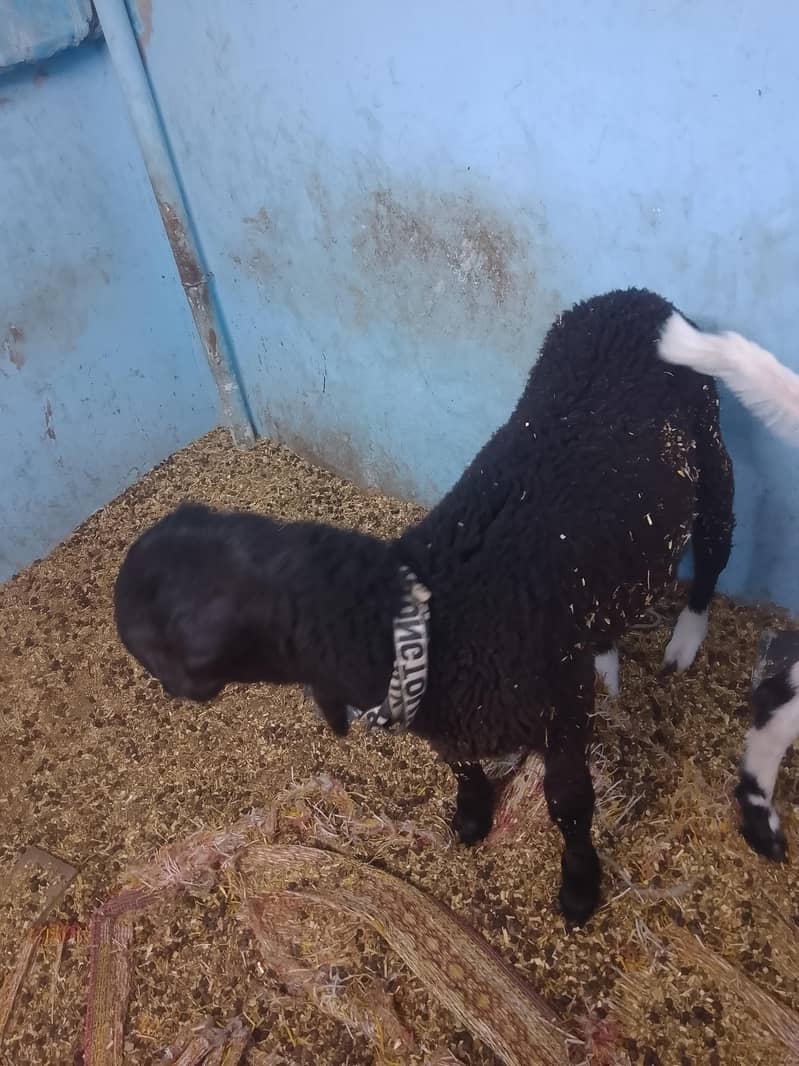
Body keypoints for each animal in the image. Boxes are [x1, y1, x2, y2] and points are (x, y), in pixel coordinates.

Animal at [114, 287, 737, 926]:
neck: (443, 618)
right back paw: (607, 658)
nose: (165, 685)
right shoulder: (455, 717)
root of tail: (634, 296)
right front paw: (472, 816)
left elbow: (569, 804)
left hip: (711, 449)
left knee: (716, 546)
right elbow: (458, 762)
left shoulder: (561, 711)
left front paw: (580, 887)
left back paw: (685, 639)